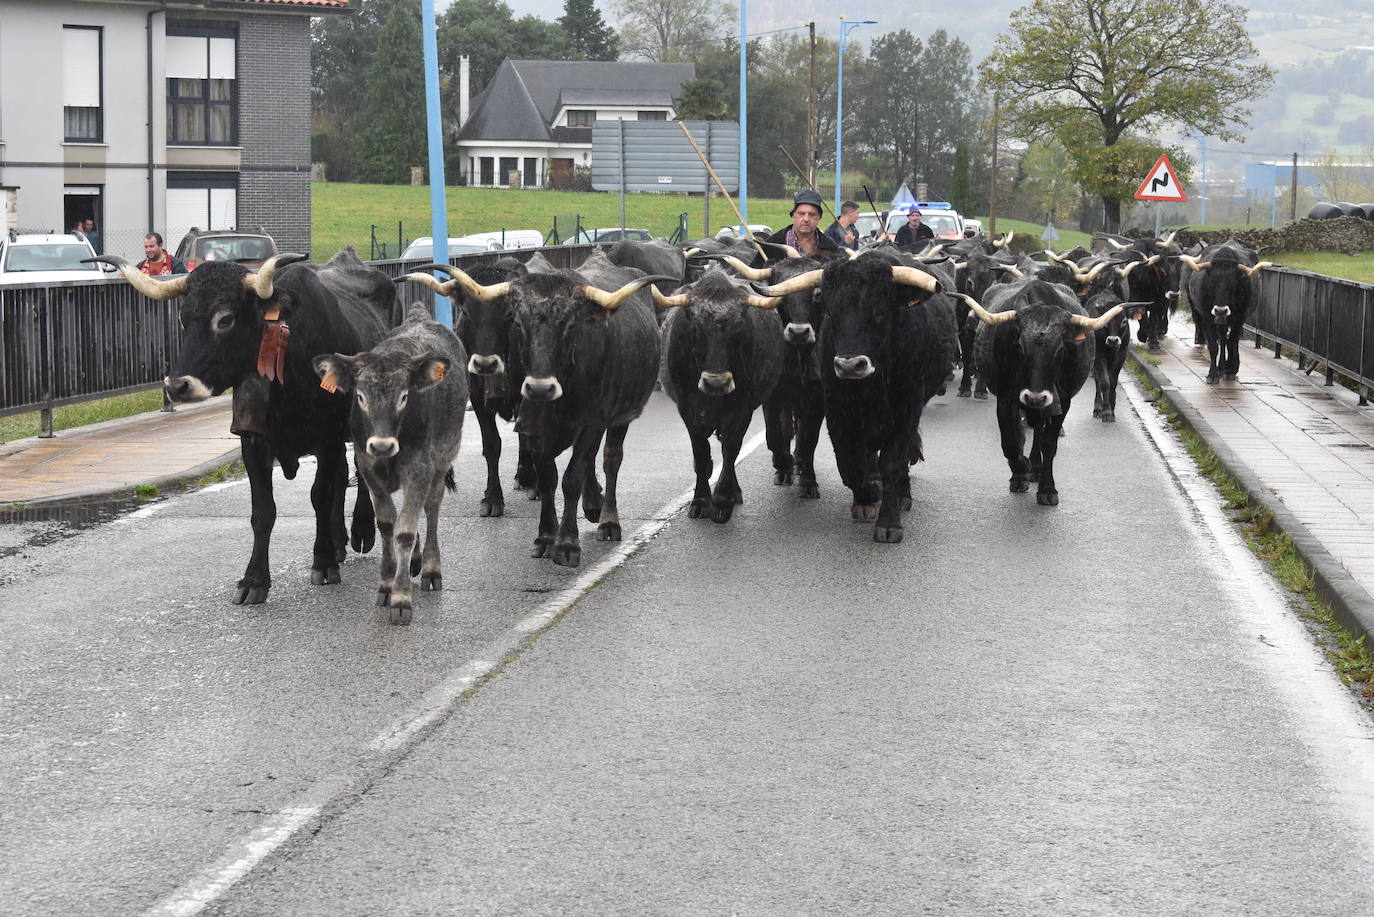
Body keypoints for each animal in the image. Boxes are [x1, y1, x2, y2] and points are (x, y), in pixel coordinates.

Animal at [88, 247, 395, 604]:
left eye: (225, 319)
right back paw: (338, 540)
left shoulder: (328, 435)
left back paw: (360, 532)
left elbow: (320, 496)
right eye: (183, 318)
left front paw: (323, 562)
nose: (178, 386)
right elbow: (263, 511)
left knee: (361, 472)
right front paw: (254, 580)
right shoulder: (252, 439)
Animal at [311, 305, 467, 626]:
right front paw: (386, 585)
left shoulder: (420, 469)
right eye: (360, 397)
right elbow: (386, 524)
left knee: (431, 508)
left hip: (443, 459)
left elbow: (404, 531)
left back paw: (430, 567)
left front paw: (401, 597)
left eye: (404, 397)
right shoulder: (368, 468)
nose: (381, 445)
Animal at [654, 269, 785, 519]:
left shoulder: (742, 407)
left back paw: (734, 493)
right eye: (696, 329)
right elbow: (701, 453)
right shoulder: (687, 409)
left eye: (738, 330)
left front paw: (723, 499)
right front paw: (700, 500)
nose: (717, 382)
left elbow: (730, 449)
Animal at [961, 281, 1132, 505]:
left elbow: (1049, 443)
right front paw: (1020, 470)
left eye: (1060, 349)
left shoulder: (1062, 402)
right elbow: (1010, 442)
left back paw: (1036, 468)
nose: (1035, 397)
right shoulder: (1006, 399)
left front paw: (1047, 488)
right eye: (1019, 347)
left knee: (1039, 434)